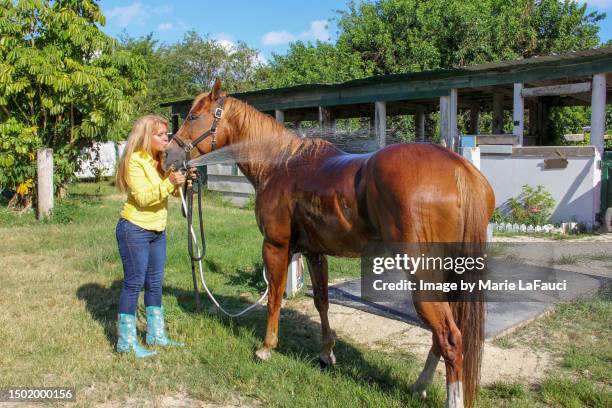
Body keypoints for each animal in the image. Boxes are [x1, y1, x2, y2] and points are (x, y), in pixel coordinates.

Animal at [164, 80, 498, 408]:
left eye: (194, 117)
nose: (168, 155)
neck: (280, 164)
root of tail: (460, 170)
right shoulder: (314, 253)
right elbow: (321, 302)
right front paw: (326, 354)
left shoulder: (275, 247)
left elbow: (274, 298)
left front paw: (267, 347)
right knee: (443, 336)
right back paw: (419, 385)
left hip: (422, 274)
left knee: (449, 337)